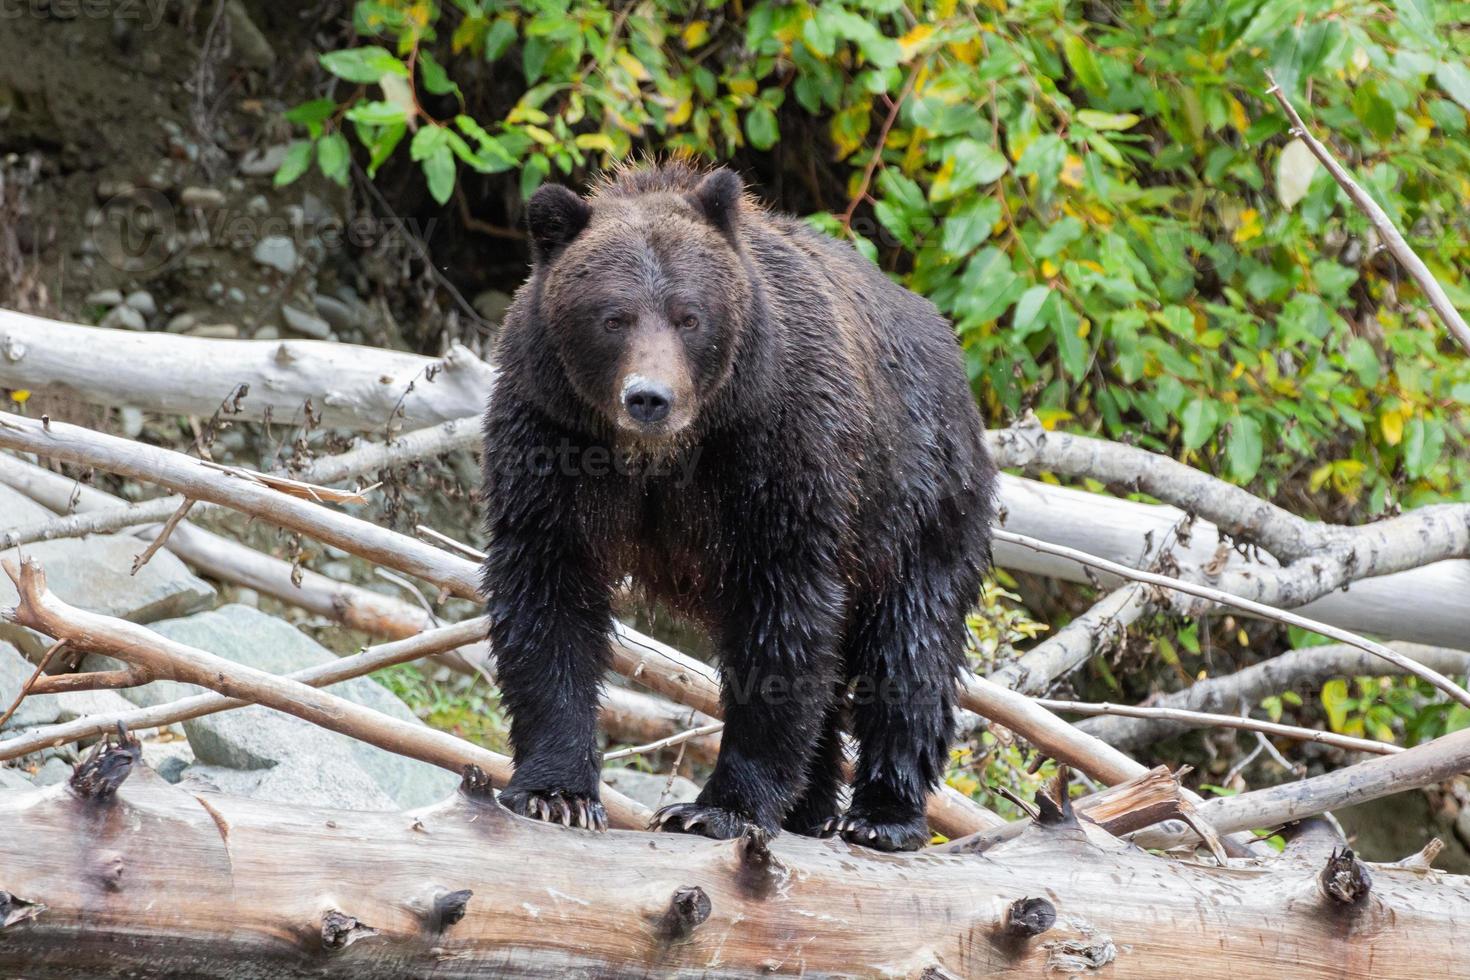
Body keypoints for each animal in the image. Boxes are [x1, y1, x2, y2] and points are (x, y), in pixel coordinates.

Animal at [485, 160, 999, 852]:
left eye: (689, 316)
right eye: (613, 316)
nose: (650, 398)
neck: (664, 457)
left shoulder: (775, 449)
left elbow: (781, 620)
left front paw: (717, 808)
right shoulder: (551, 437)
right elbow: (548, 594)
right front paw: (556, 794)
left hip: (918, 503)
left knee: (910, 645)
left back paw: (880, 816)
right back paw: (810, 809)